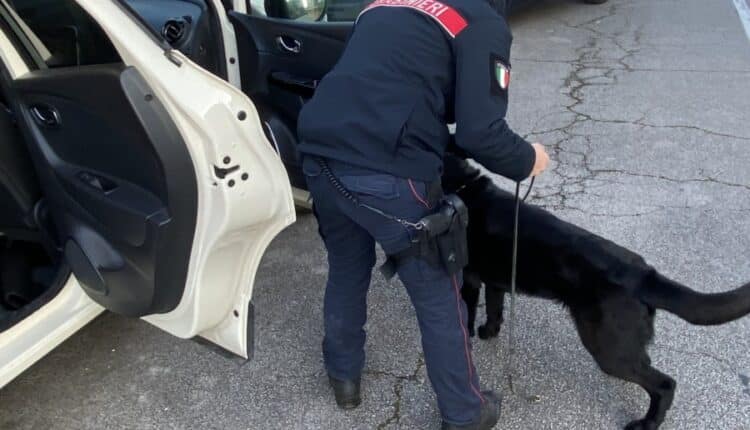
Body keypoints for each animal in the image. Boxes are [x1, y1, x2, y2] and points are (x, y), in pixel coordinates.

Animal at [444, 155, 750, 430]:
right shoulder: (495, 281)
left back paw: (647, 423)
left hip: (607, 348)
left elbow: (467, 317)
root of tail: (643, 275)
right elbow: (494, 310)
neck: (463, 185)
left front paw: (471, 339)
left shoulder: (467, 280)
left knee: (664, 384)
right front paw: (488, 331)